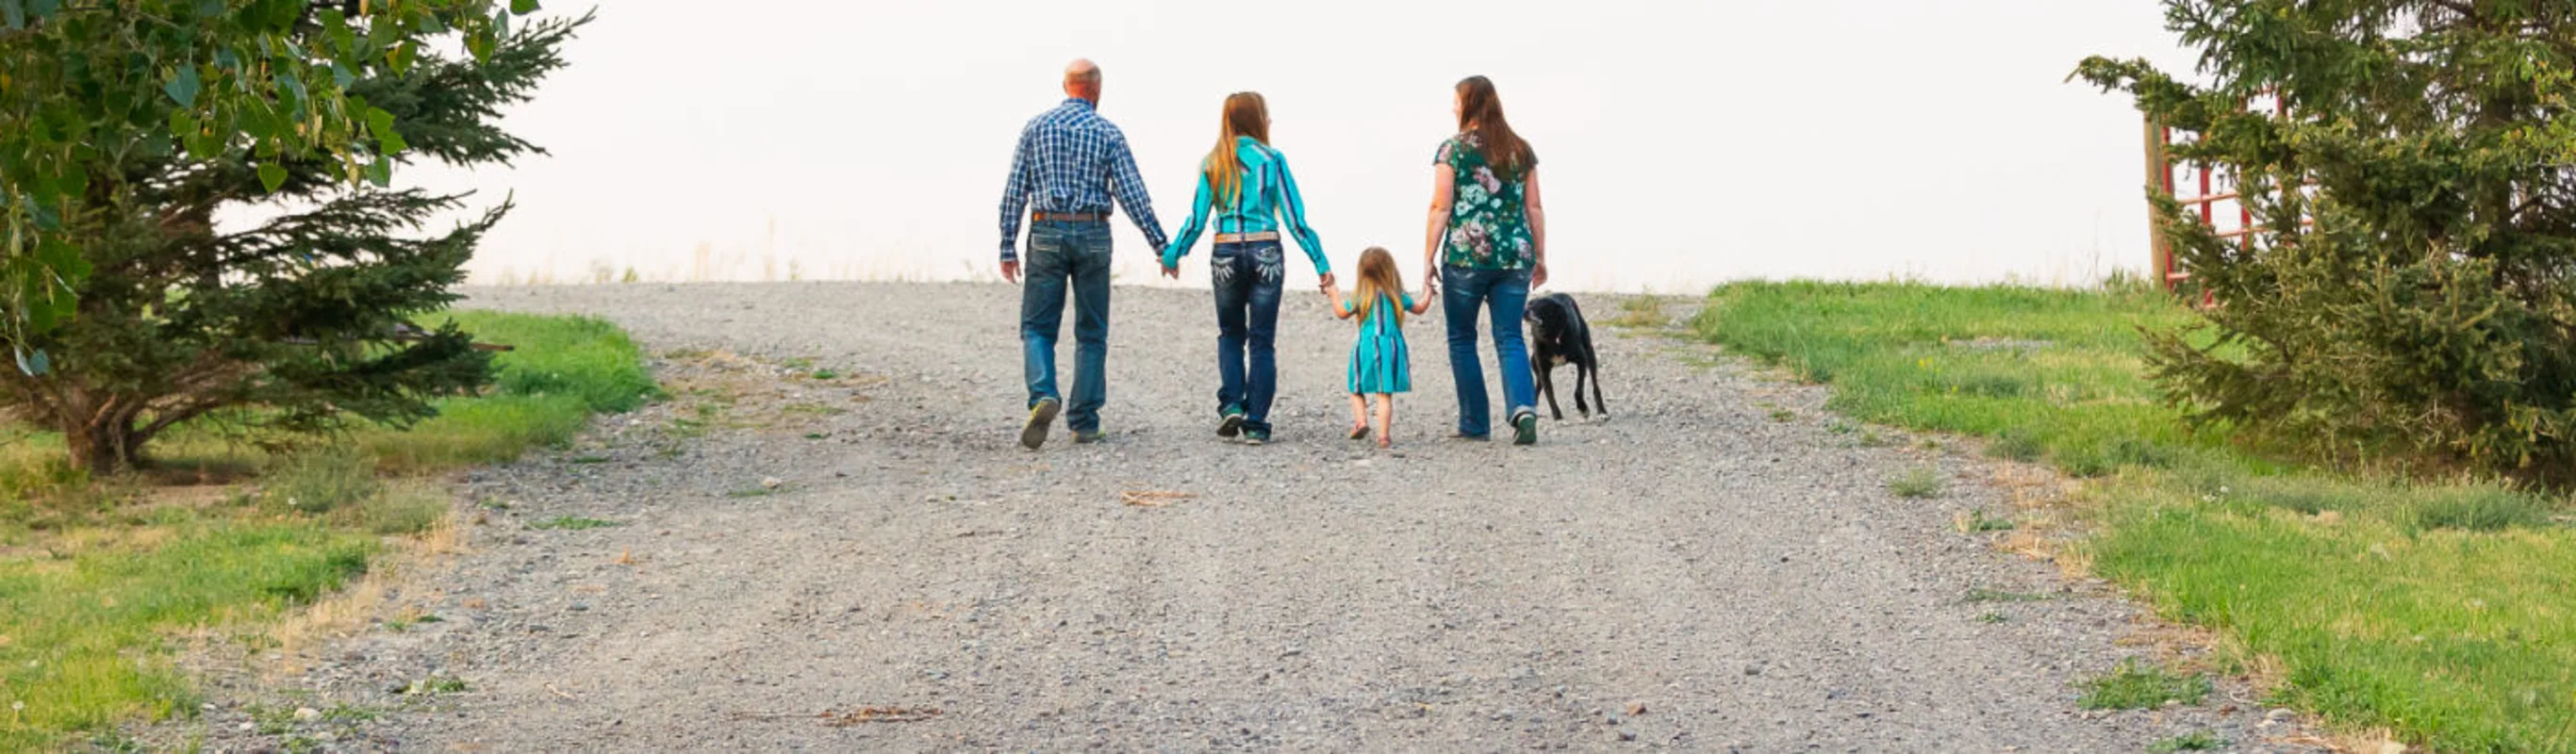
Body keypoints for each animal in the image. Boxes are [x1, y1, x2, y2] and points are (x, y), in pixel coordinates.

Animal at [1514, 293, 1596, 419]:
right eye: (1529, 304)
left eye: (1540, 306)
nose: (1524, 311)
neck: (1552, 338)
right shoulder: (1543, 372)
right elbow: (1550, 394)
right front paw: (1558, 417)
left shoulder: (1582, 361)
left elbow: (1578, 389)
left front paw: (1583, 408)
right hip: (1535, 364)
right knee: (1538, 386)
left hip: (1589, 353)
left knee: (1596, 387)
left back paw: (1602, 412)